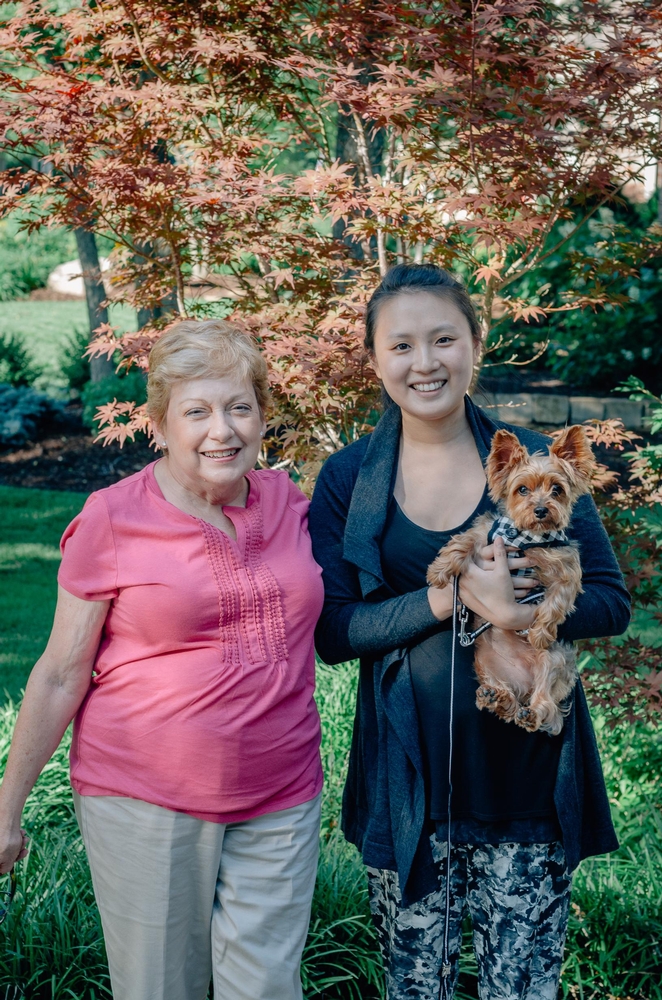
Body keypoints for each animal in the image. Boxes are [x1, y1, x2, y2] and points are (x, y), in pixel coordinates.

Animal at [428, 422, 600, 736]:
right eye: (522, 489)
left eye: (557, 489)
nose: (541, 510)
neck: (526, 537)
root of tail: (523, 684)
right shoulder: (486, 534)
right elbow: (461, 542)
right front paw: (439, 570)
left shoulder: (567, 567)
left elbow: (557, 601)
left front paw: (540, 632)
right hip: (484, 661)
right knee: (506, 698)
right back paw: (495, 697)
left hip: (555, 661)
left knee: (545, 704)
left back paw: (530, 713)